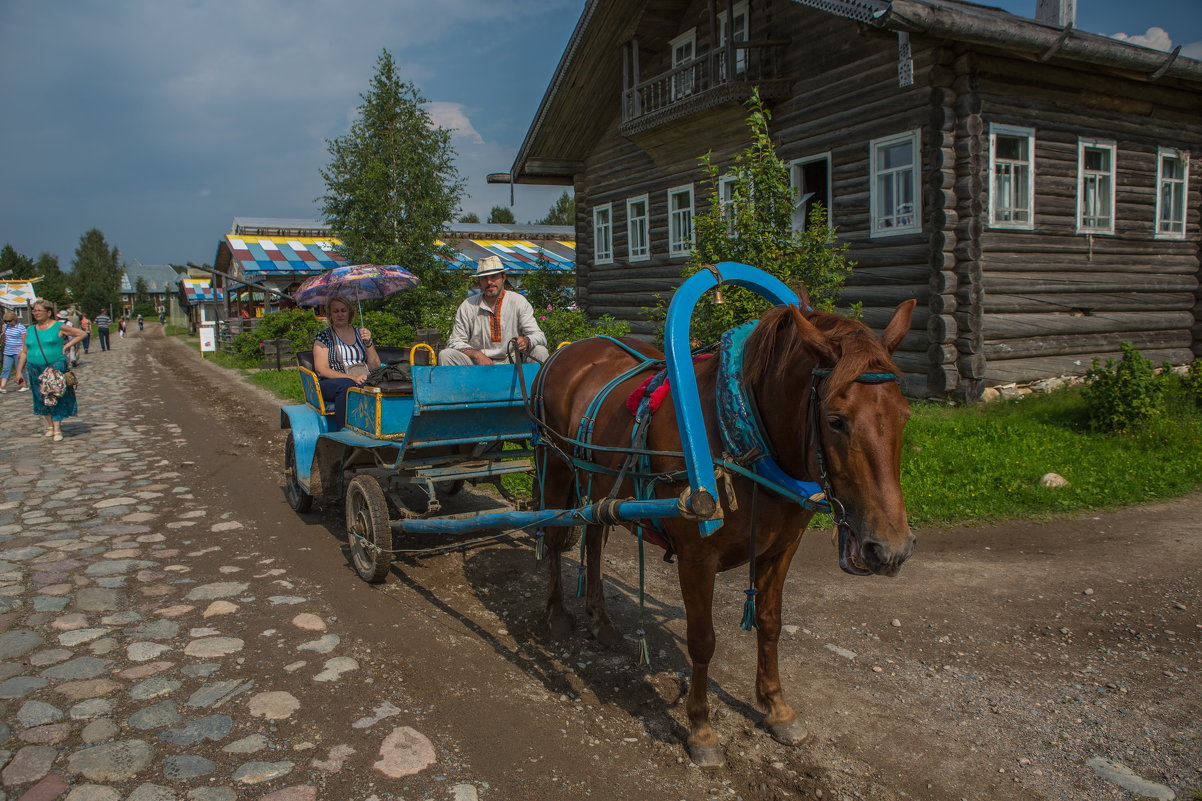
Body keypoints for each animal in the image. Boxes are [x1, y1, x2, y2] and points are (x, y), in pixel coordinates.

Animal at [531, 292, 913, 760]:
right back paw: (557, 614)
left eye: (904, 415)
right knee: (553, 537)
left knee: (594, 538)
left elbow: (770, 622)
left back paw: (600, 621)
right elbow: (702, 639)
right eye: (836, 419)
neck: (744, 440)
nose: (891, 549)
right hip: (555, 466)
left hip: (600, 485)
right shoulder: (696, 557)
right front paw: (701, 728)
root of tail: (572, 348)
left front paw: (777, 708)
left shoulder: (782, 547)